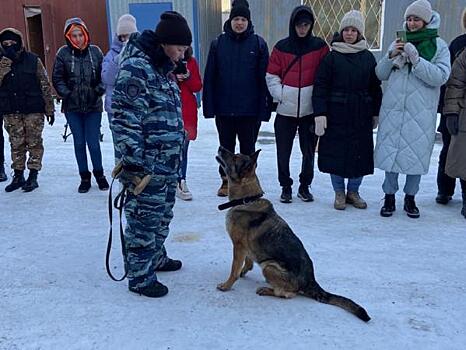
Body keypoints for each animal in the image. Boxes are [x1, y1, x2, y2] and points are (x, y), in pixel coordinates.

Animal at [216, 146, 372, 322]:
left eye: (235, 158)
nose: (220, 148)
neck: (247, 199)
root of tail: (310, 280)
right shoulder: (246, 248)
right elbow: (247, 262)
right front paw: (244, 271)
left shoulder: (238, 246)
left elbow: (233, 270)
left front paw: (226, 285)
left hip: (269, 266)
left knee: (288, 294)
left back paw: (267, 290)